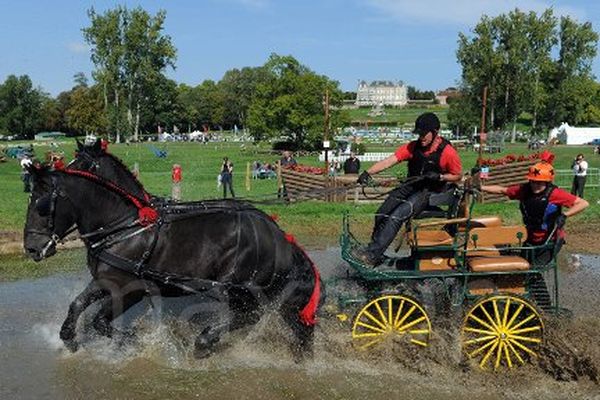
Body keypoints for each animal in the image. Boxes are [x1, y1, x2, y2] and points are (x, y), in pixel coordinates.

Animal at [24, 164, 324, 358]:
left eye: (41, 205)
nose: (31, 248)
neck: (125, 227)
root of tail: (281, 238)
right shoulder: (107, 280)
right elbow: (77, 304)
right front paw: (69, 339)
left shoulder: (130, 289)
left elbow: (100, 321)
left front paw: (136, 341)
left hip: (238, 287)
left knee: (249, 314)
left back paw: (204, 341)